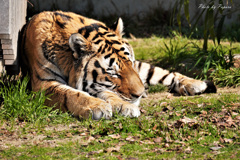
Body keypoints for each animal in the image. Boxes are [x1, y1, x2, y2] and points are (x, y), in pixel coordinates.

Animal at [19, 10, 217, 119]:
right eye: (112, 73)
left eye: (129, 64)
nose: (139, 94)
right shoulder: (43, 85)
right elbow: (72, 95)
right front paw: (98, 107)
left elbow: (109, 93)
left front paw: (125, 106)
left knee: (166, 73)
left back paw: (195, 84)